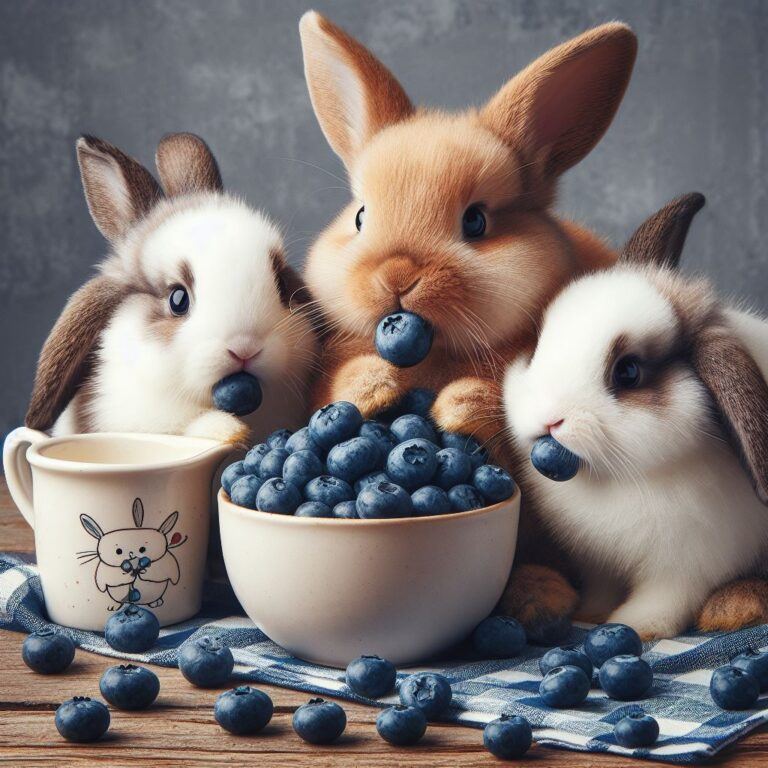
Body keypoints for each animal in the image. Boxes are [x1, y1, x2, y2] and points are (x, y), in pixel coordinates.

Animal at [296, 13, 640, 632]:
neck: (431, 355)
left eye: (475, 222)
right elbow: (339, 391)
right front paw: (373, 386)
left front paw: (455, 408)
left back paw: (537, 598)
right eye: (360, 217)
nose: (398, 273)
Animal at [504, 194, 768, 640]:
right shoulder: (599, 563)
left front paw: (633, 626)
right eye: (539, 344)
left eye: (627, 372)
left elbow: (663, 601)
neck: (616, 480)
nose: (549, 418)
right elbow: (600, 588)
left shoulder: (687, 568)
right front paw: (590, 614)